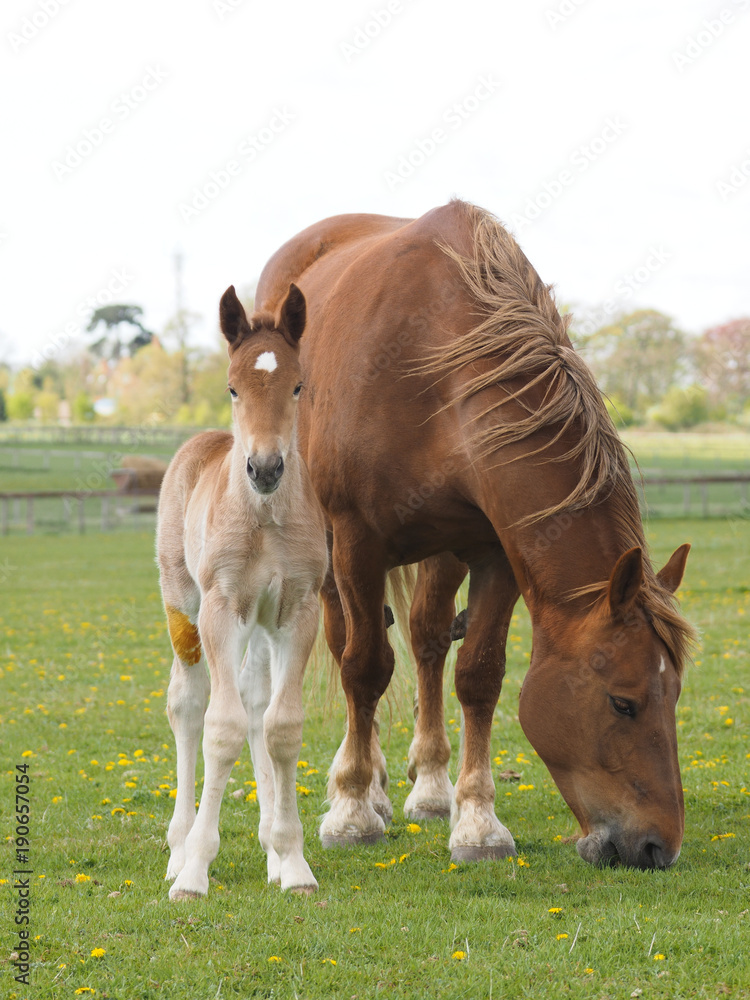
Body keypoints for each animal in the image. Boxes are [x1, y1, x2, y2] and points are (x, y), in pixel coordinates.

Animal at [157, 283, 327, 899]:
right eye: (233, 387)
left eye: (298, 385)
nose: (266, 467)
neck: (266, 520)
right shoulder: (221, 608)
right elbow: (221, 728)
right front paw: (194, 872)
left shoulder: (298, 610)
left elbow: (281, 726)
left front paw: (293, 863)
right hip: (182, 606)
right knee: (187, 703)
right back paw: (178, 847)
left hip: (258, 625)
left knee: (255, 701)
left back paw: (268, 849)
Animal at [252, 199, 696, 870]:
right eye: (623, 702)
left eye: (673, 696)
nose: (656, 847)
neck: (433, 364)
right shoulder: (357, 542)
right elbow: (364, 666)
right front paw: (352, 809)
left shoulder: (496, 553)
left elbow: (479, 675)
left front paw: (478, 822)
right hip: (327, 548)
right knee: (349, 642)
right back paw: (367, 785)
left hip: (441, 551)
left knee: (428, 638)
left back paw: (431, 788)